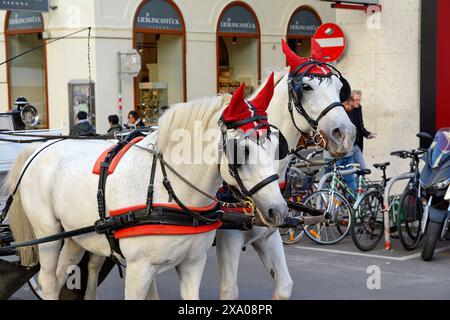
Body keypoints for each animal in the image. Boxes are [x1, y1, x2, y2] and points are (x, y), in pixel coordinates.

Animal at [5, 85, 286, 300]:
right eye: (243, 150)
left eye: (275, 145)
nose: (279, 210)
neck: (166, 190)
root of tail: (40, 147)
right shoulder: (138, 271)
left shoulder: (192, 265)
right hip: (48, 235)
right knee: (49, 280)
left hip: (76, 236)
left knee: (64, 273)